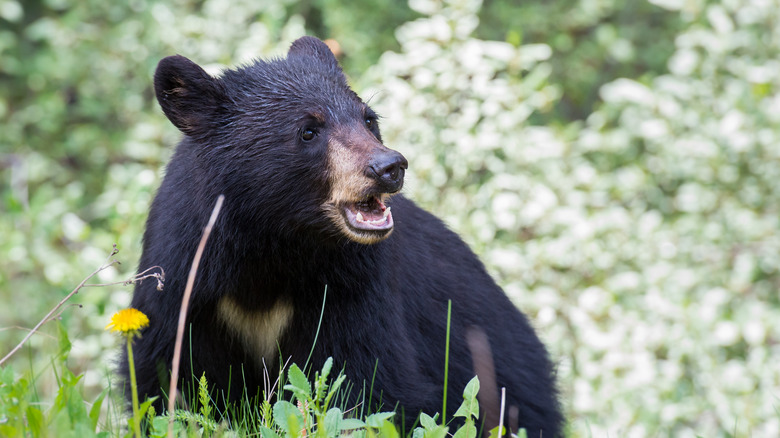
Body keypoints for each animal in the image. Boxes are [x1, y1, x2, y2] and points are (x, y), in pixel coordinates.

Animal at [120, 36, 560, 436]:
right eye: (308, 131)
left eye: (368, 119)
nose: (389, 167)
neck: (270, 244)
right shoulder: (186, 280)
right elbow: (167, 377)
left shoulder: (351, 286)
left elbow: (366, 383)